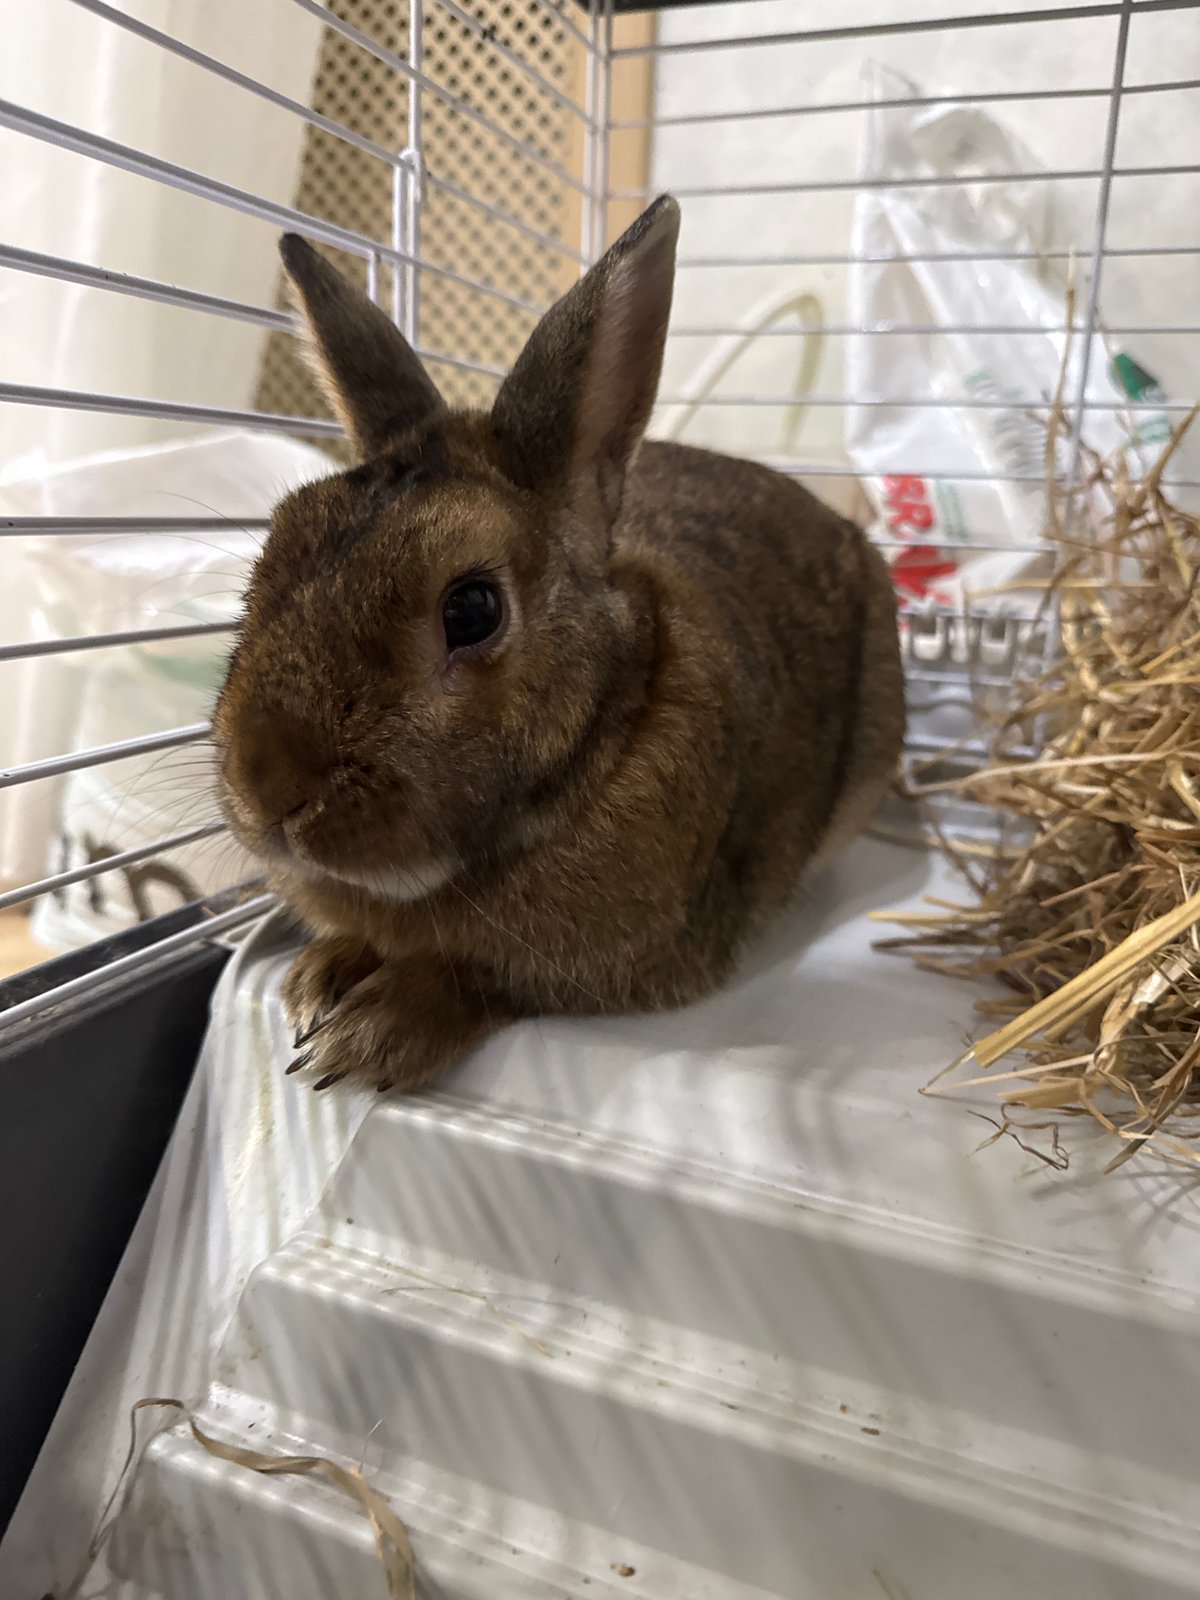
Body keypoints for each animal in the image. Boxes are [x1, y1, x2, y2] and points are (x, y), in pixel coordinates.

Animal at [213, 195, 905, 1094]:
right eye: (274, 548)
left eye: (473, 609)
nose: (266, 790)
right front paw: (316, 980)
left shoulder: (614, 962)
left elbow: (481, 978)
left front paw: (367, 1034)